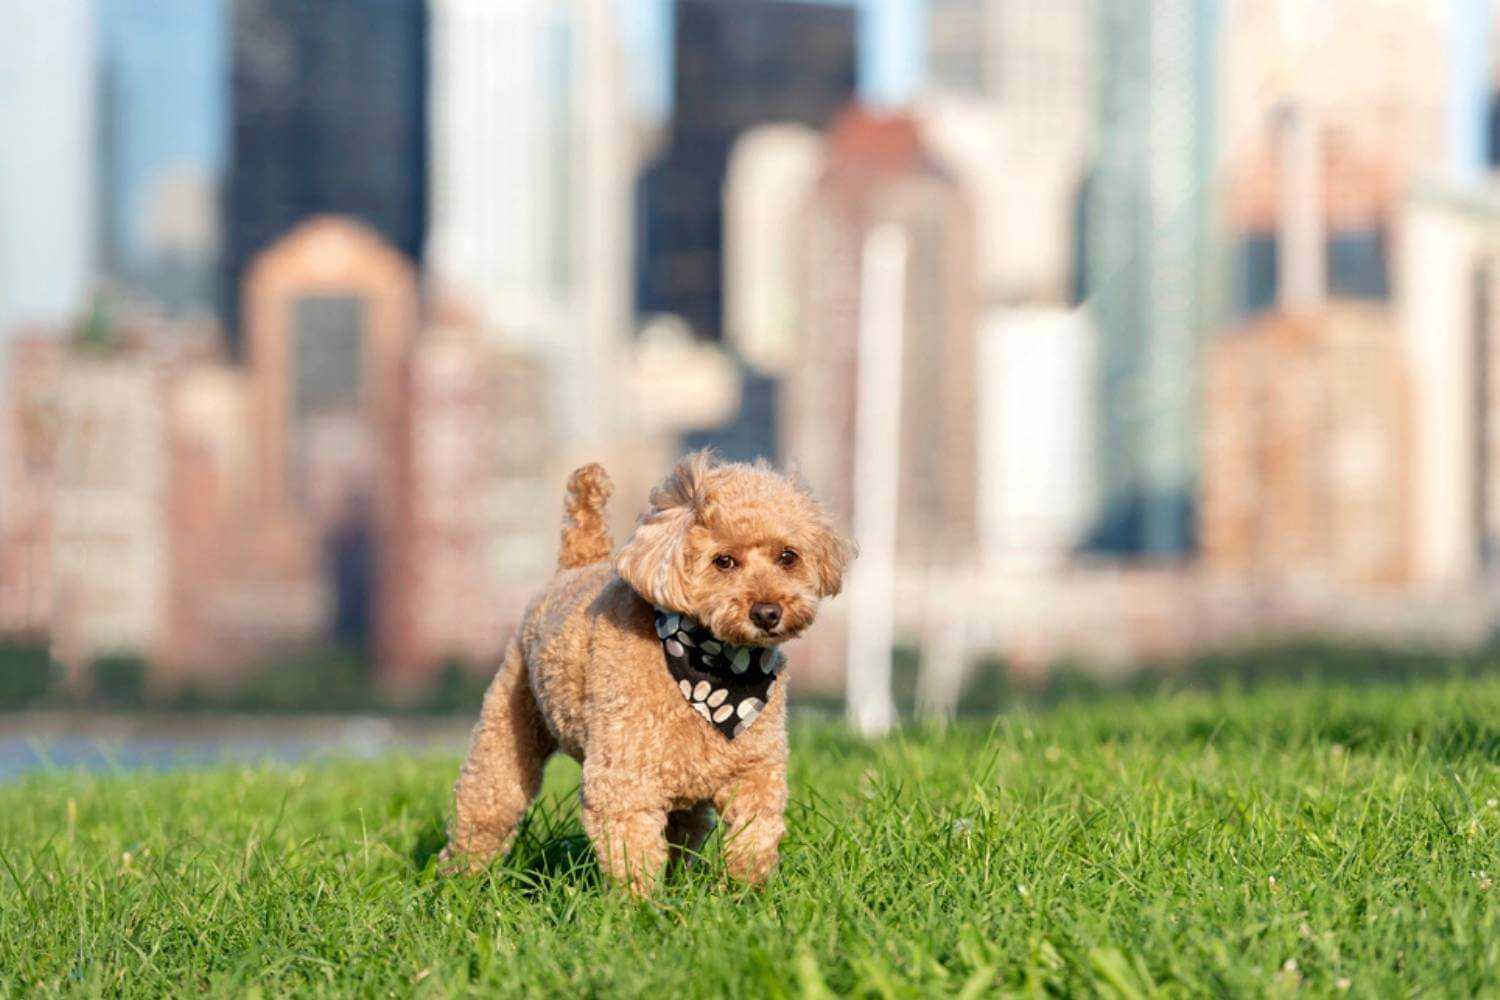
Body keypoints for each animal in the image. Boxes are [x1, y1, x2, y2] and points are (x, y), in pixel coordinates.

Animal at [438, 449, 852, 893]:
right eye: (723, 561)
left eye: (788, 556)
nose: (768, 612)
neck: (714, 672)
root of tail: (576, 564)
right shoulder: (624, 776)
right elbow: (631, 848)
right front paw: (641, 904)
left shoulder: (755, 766)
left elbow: (756, 828)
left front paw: (746, 887)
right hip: (507, 727)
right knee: (487, 805)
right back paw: (460, 878)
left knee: (686, 827)